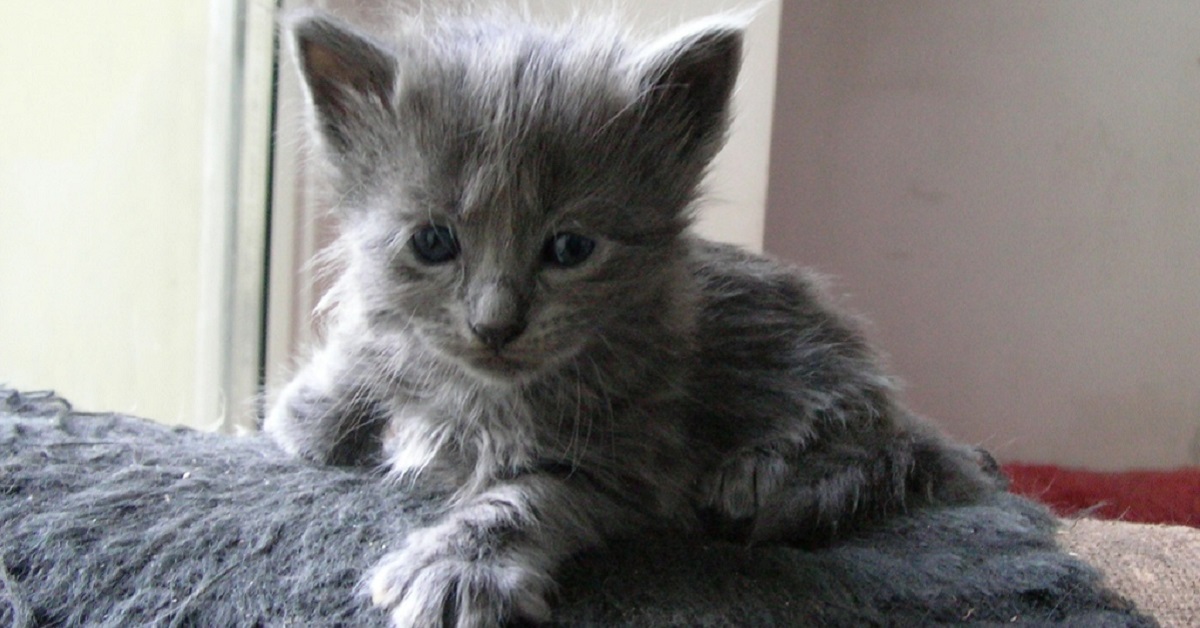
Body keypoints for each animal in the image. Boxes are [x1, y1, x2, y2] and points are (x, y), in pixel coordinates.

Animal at [267, 7, 1008, 624]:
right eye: (432, 242)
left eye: (570, 249)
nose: (495, 325)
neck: (482, 397)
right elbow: (356, 372)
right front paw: (318, 406)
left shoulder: (633, 460)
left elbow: (527, 498)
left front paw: (459, 567)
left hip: (836, 393)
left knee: (873, 451)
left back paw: (755, 478)